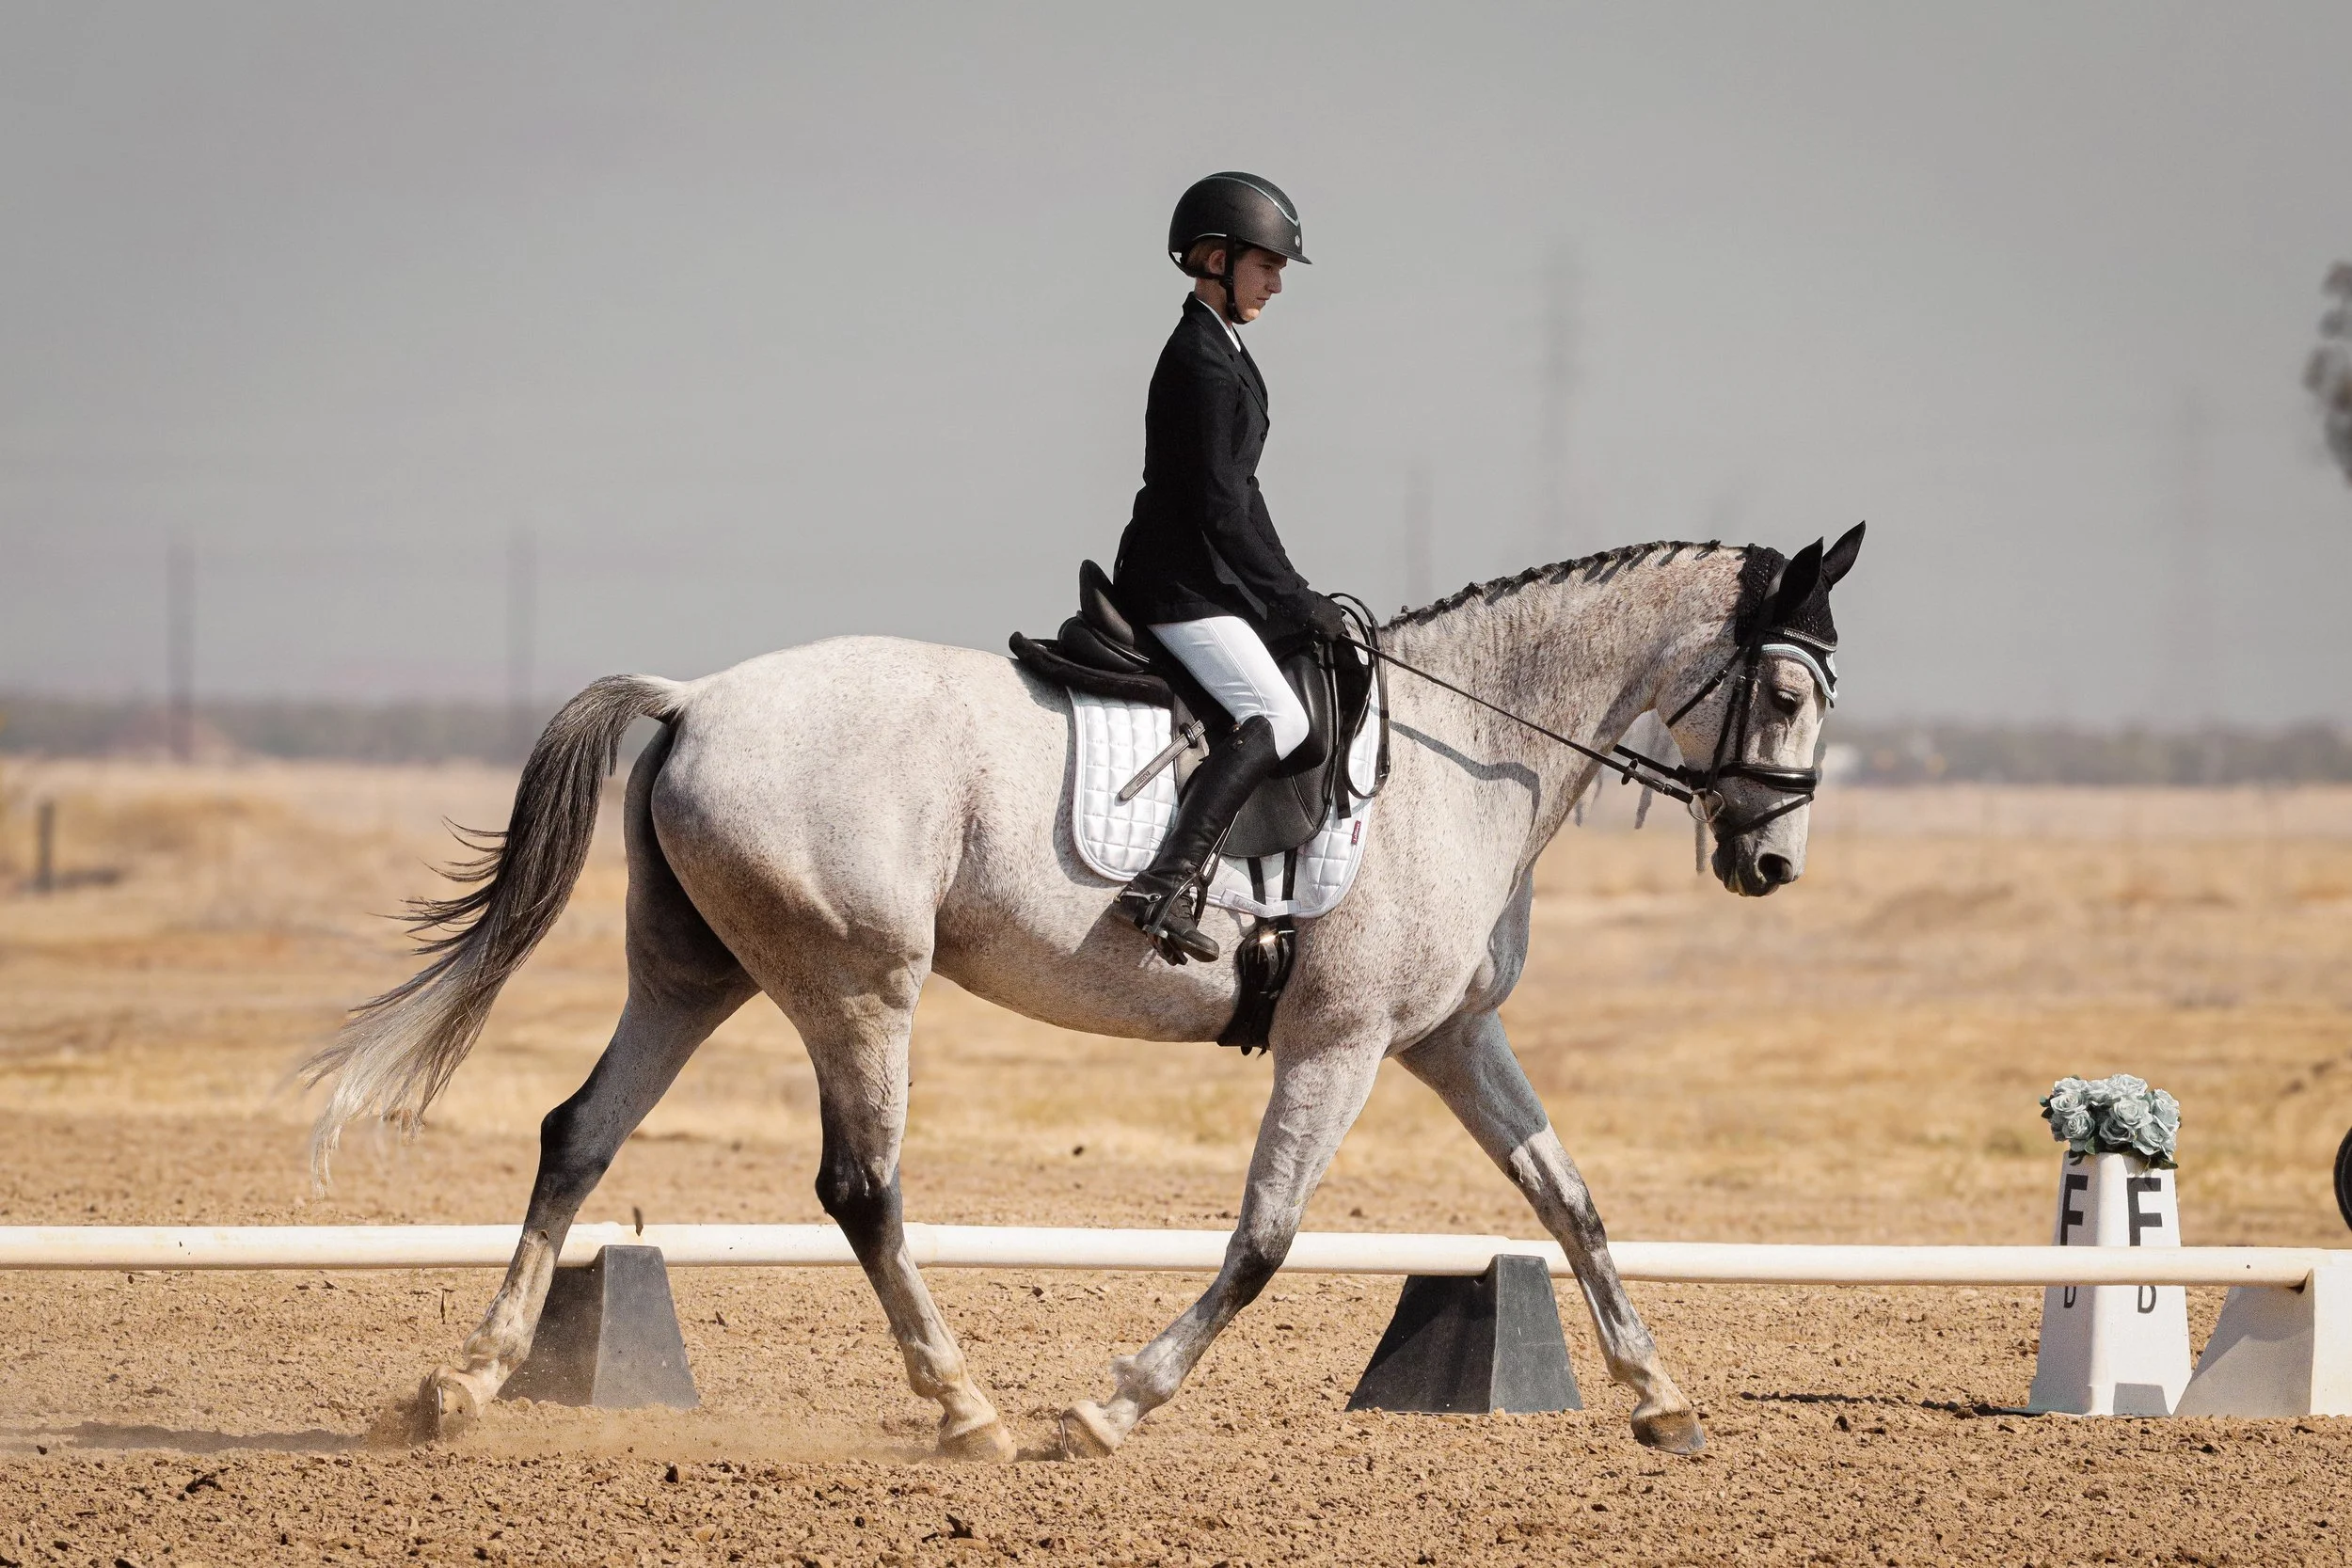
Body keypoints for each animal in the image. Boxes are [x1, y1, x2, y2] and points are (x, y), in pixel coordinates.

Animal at [301, 525, 1864, 1461]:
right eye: (1787, 696)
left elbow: (1571, 1200)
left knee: (579, 1134)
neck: (1466, 745)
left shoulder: (1447, 1037)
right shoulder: (1342, 1038)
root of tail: (693, 696)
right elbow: (1264, 1239)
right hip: (856, 981)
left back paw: (462, 1384)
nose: (1772, 862)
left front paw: (1662, 1398)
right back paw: (969, 1407)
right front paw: (1108, 1405)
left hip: (695, 974)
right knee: (860, 1185)